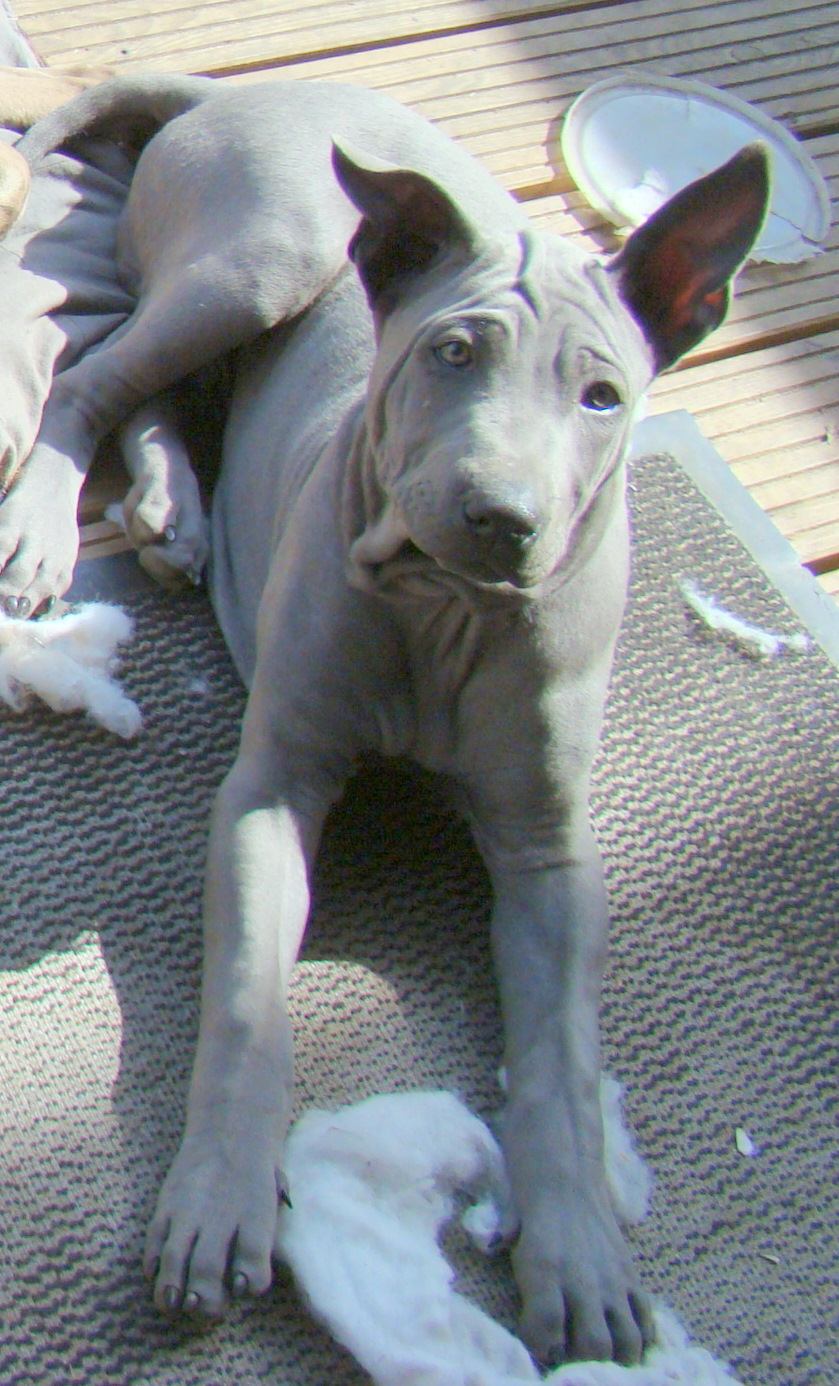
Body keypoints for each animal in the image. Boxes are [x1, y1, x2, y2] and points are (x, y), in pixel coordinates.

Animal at [12, 75, 769, 1365]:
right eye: (448, 355)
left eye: (602, 396)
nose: (499, 517)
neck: (446, 617)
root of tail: (241, 88)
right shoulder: (269, 789)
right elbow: (248, 1001)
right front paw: (217, 1202)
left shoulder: (550, 852)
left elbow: (562, 1057)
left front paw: (582, 1256)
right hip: (268, 253)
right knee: (92, 370)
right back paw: (52, 527)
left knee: (157, 392)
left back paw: (171, 506)